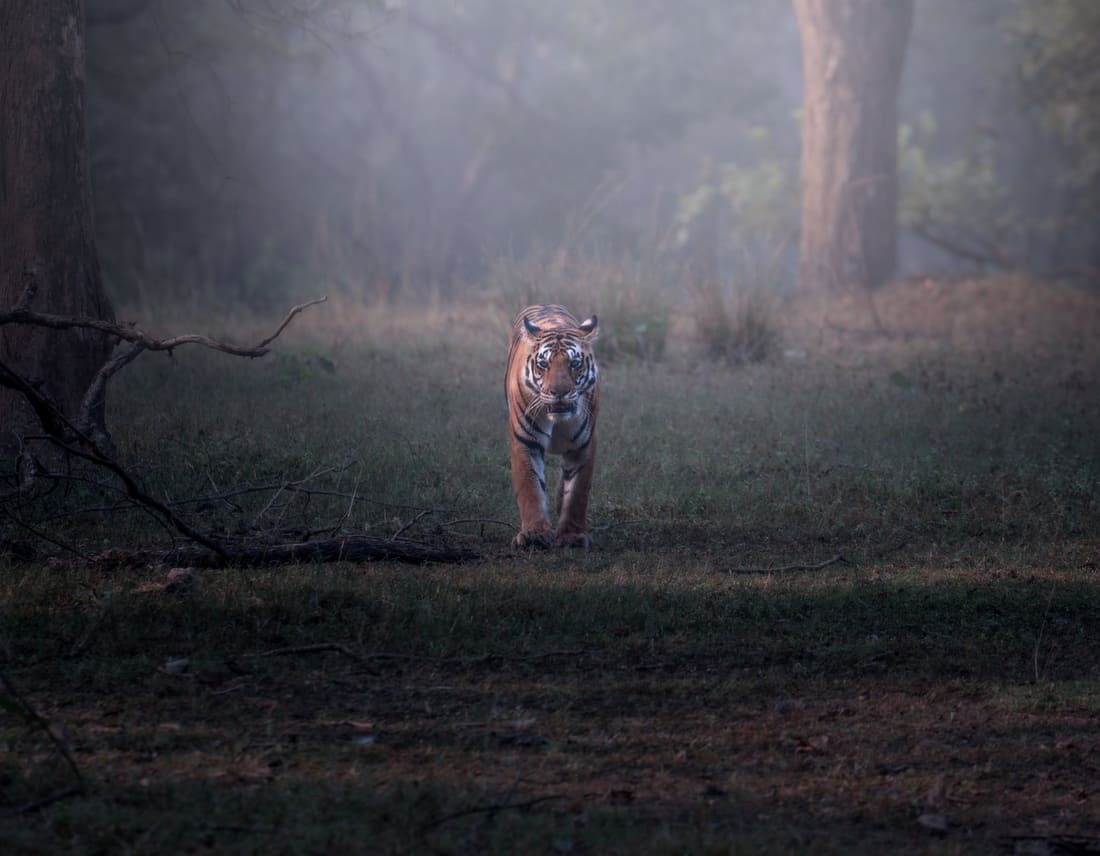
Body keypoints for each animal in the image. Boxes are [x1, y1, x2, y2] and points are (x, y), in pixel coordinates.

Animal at [506, 304, 600, 549]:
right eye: (543, 364)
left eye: (574, 364)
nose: (559, 392)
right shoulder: (525, 441)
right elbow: (530, 489)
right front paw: (535, 534)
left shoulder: (583, 445)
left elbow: (577, 493)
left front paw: (571, 536)